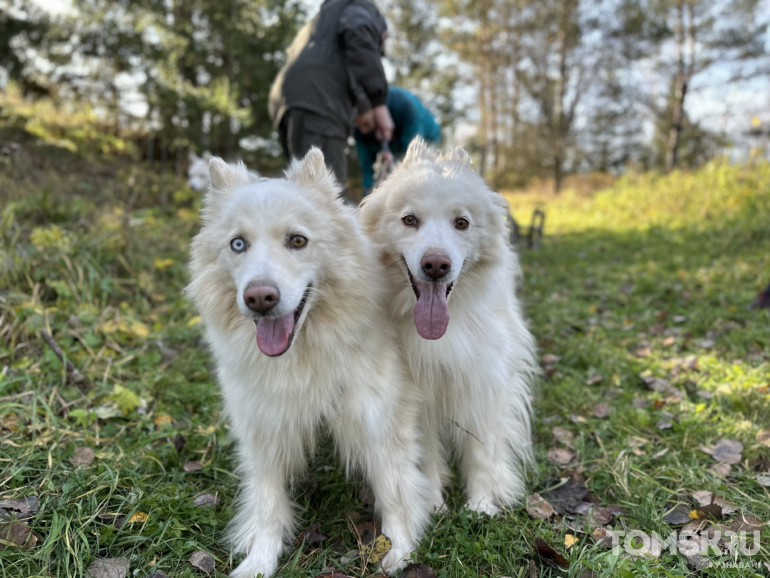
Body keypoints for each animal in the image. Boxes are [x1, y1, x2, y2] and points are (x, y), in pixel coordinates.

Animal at [184, 150, 428, 576]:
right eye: (237, 244)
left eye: (297, 240)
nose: (259, 298)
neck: (304, 355)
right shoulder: (263, 427)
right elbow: (267, 503)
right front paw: (260, 561)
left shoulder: (378, 420)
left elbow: (394, 489)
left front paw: (400, 551)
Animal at [358, 138, 536, 512]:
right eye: (409, 220)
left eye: (462, 223)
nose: (436, 265)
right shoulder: (416, 395)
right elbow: (426, 453)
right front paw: (434, 504)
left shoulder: (484, 382)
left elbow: (481, 449)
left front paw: (482, 506)